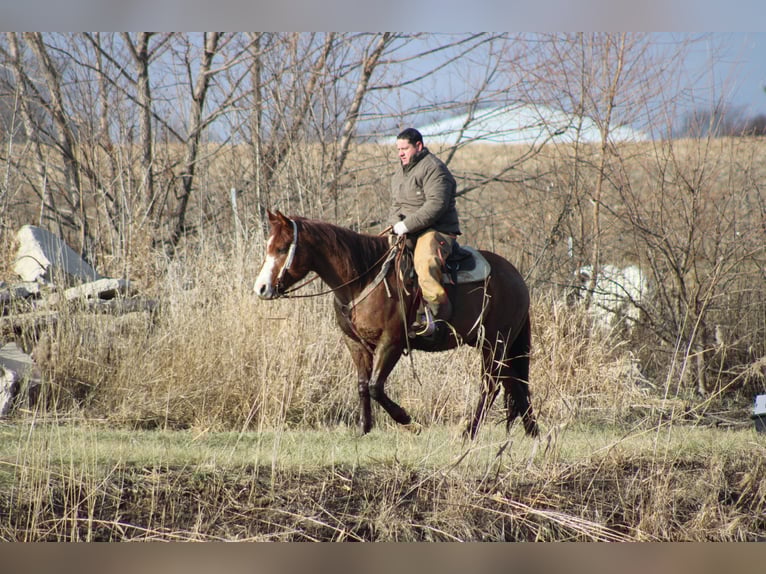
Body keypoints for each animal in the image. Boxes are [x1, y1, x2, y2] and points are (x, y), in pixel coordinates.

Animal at [254, 210, 539, 439]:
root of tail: (516, 277)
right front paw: (364, 428)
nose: (262, 288)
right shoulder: (355, 343)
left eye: (282, 248)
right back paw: (532, 431)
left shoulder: (391, 342)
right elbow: (363, 385)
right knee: (514, 383)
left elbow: (375, 387)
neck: (364, 277)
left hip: (494, 342)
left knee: (491, 386)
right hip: (497, 345)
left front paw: (408, 422)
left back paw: (470, 431)